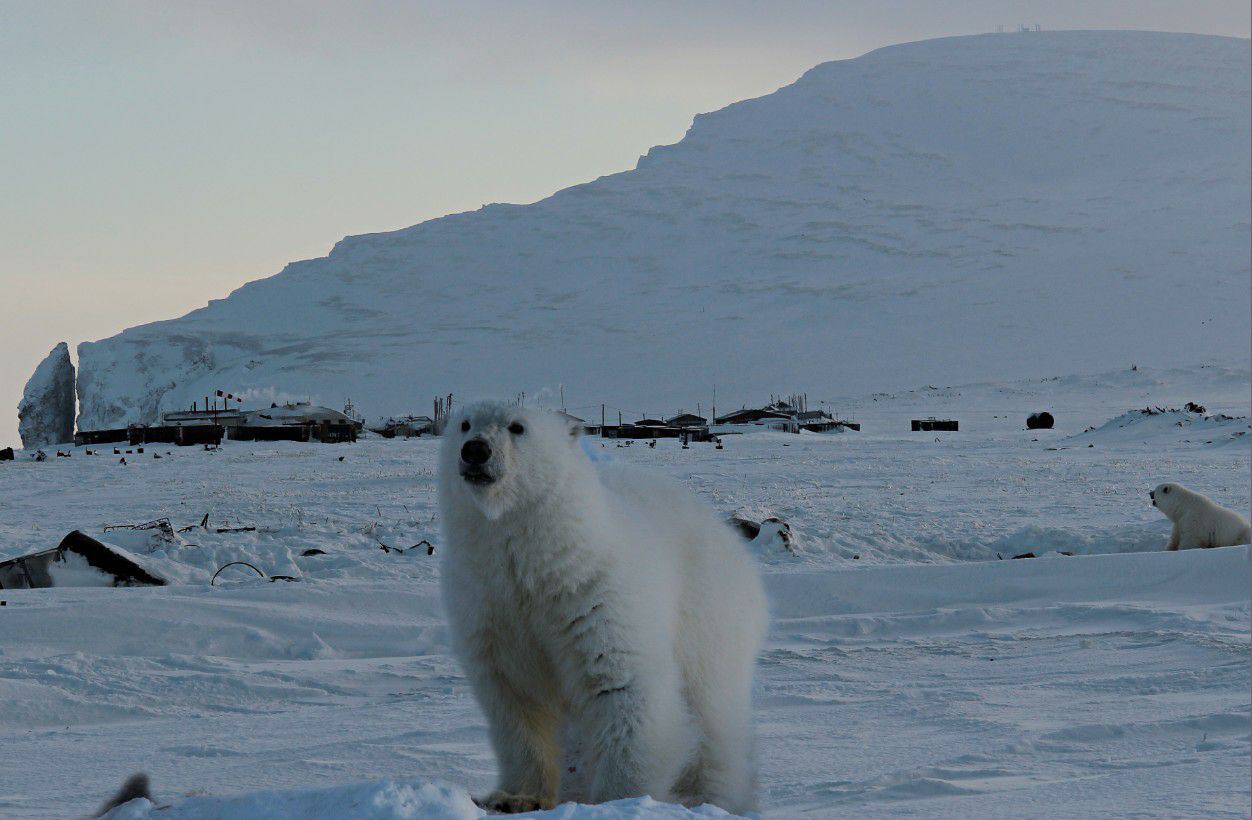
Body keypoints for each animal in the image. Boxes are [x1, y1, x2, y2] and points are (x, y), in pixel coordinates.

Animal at [435, 403, 766, 816]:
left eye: (518, 427)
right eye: (464, 425)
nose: (475, 450)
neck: (546, 562)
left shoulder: (595, 596)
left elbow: (620, 684)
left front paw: (620, 800)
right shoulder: (490, 605)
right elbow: (517, 700)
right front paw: (516, 798)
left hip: (707, 610)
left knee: (712, 707)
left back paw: (715, 796)